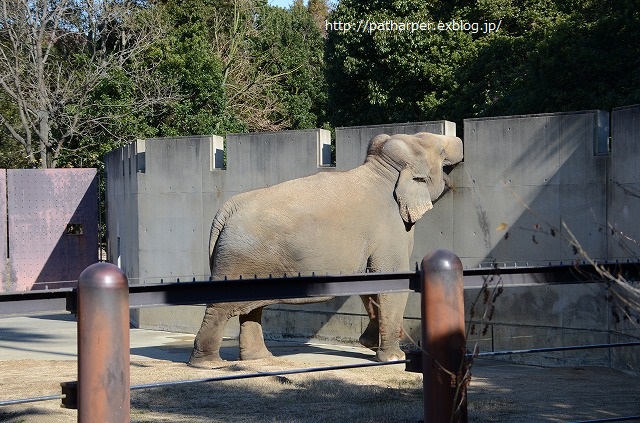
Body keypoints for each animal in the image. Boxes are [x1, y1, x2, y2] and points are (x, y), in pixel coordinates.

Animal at [188, 133, 462, 368]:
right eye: (440, 152)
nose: (458, 139)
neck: (382, 170)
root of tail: (225, 211)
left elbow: (369, 280)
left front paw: (369, 344)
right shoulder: (390, 228)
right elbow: (391, 280)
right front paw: (394, 357)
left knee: (251, 307)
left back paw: (259, 359)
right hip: (239, 258)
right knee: (220, 307)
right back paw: (208, 364)